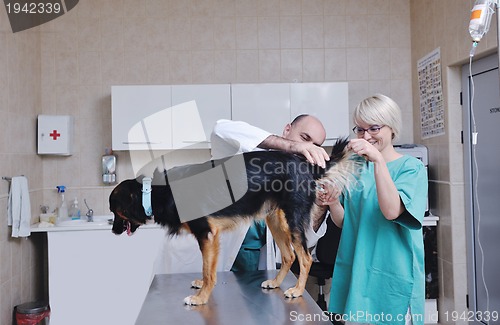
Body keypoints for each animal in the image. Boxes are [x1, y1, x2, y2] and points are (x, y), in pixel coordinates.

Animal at [109, 138, 362, 306]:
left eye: (115, 211)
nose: (112, 231)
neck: (156, 192)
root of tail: (306, 165)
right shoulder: (209, 237)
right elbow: (207, 268)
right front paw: (202, 287)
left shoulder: (207, 234)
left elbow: (209, 270)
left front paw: (201, 297)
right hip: (275, 220)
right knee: (289, 256)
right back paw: (276, 282)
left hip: (293, 220)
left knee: (306, 258)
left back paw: (297, 290)